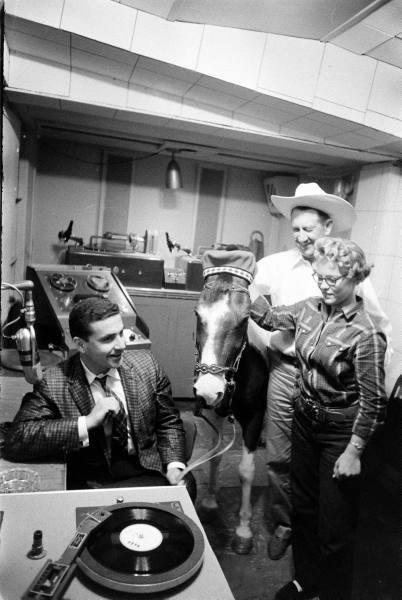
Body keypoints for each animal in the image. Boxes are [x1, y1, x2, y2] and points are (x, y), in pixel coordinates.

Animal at [193, 256, 269, 554]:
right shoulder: (215, 410)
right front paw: (209, 503)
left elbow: (246, 472)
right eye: (197, 315)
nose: (206, 388)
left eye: (245, 319)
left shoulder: (255, 416)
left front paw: (244, 530)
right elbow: (215, 454)